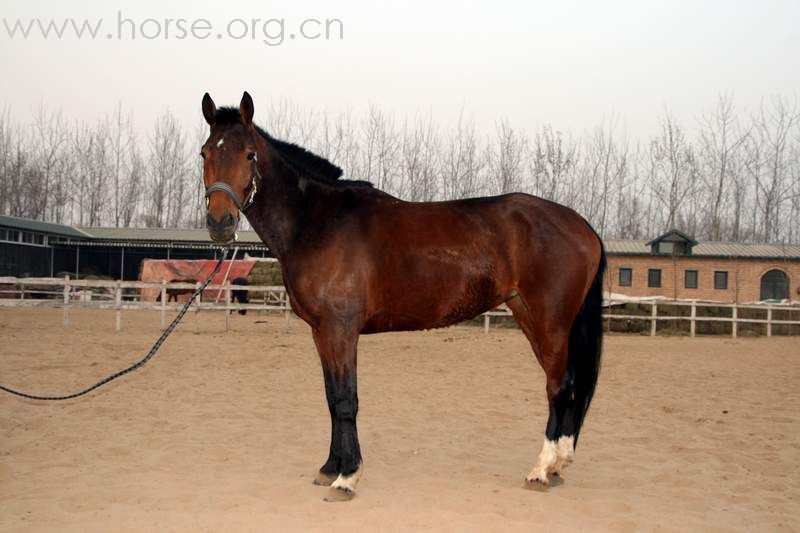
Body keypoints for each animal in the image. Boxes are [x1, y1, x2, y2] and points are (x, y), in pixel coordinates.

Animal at [200, 92, 608, 498]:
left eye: (249, 154)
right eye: (205, 153)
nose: (220, 223)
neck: (317, 222)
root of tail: (581, 225)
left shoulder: (340, 330)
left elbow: (346, 399)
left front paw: (347, 476)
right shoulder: (321, 332)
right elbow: (331, 398)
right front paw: (329, 467)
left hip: (550, 322)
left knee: (559, 386)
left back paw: (541, 470)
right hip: (527, 314)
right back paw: (558, 464)